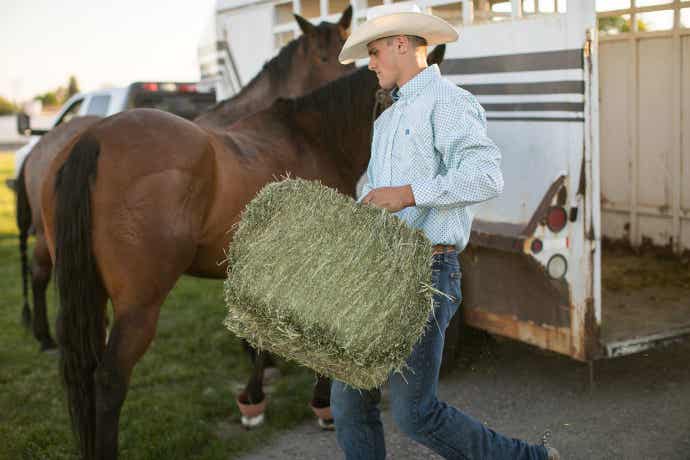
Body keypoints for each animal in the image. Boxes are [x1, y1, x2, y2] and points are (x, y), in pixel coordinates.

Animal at [41, 44, 440, 460]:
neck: (312, 139)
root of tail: (94, 138)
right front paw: (318, 403)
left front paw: (252, 401)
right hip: (138, 307)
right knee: (109, 378)